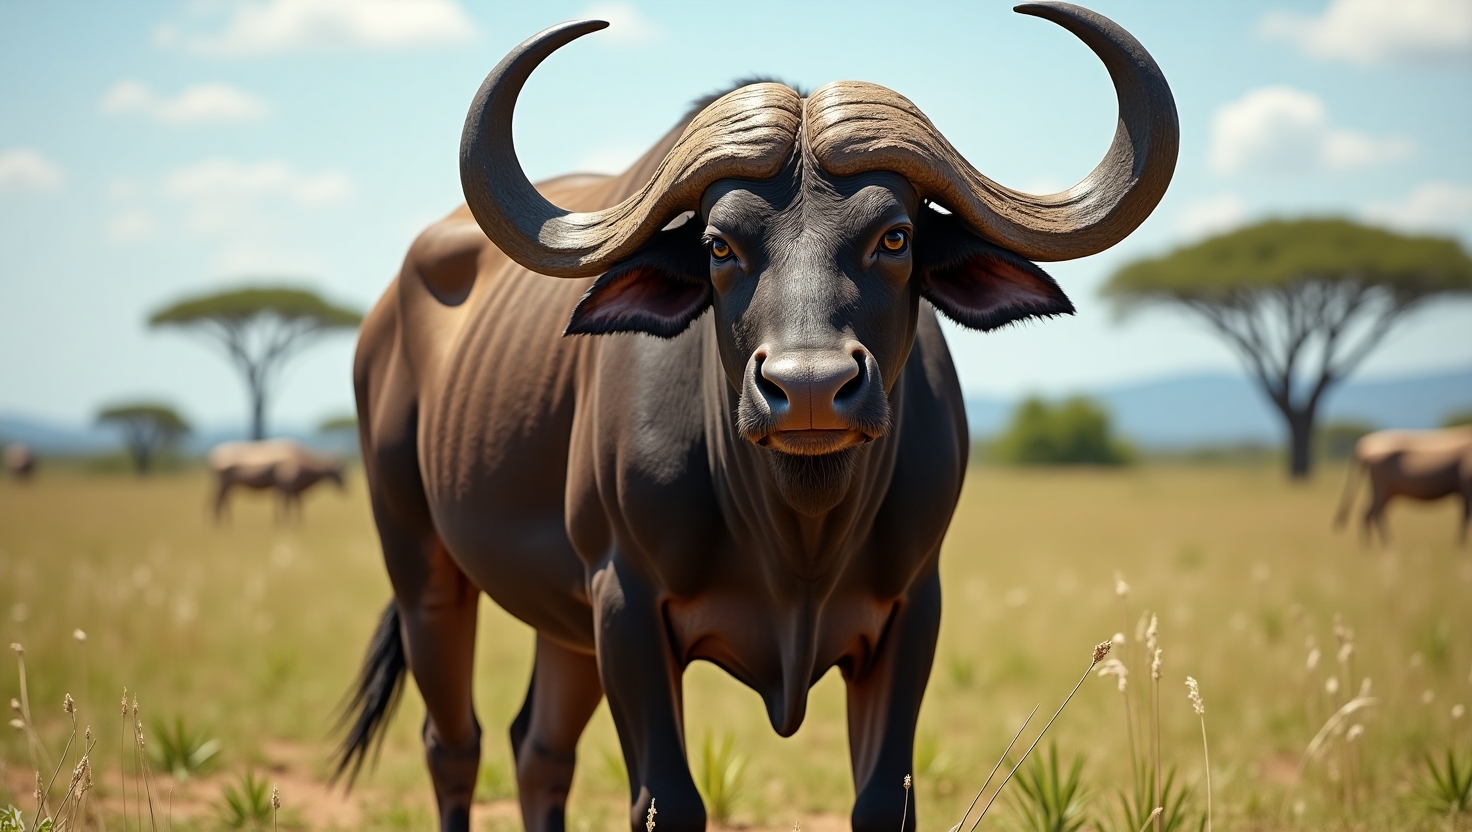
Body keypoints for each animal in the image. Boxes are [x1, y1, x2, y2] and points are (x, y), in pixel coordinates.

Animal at [338, 5, 1177, 832]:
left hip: (561, 621)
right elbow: (666, 800)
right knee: (454, 744)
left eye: (895, 236)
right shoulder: (625, 599)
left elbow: (885, 800)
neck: (797, 535)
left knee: (539, 749)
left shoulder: (912, 607)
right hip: (421, 566)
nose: (809, 388)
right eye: (719, 245)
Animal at [1335, 427, 1472, 545]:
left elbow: (1464, 519)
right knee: (1372, 514)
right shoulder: (1466, 489)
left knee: (1372, 514)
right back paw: (1384, 546)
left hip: (1387, 492)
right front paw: (1461, 546)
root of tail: (1365, 447)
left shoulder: (1463, 492)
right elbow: (1465, 519)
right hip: (1383, 490)